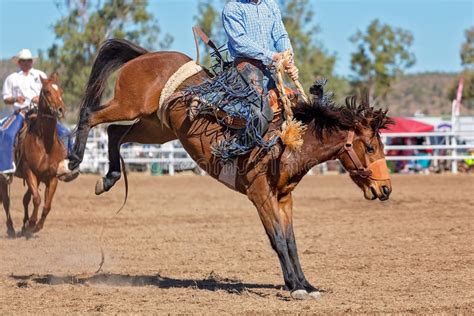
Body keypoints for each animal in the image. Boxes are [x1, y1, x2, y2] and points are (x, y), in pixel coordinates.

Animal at [66, 40, 392, 302]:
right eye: (371, 147)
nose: (386, 188)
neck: (288, 141)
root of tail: (147, 56)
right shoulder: (261, 195)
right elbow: (278, 239)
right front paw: (296, 287)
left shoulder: (284, 197)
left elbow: (292, 241)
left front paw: (305, 284)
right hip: (129, 105)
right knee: (91, 115)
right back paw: (73, 160)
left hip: (156, 126)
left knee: (115, 134)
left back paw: (107, 179)